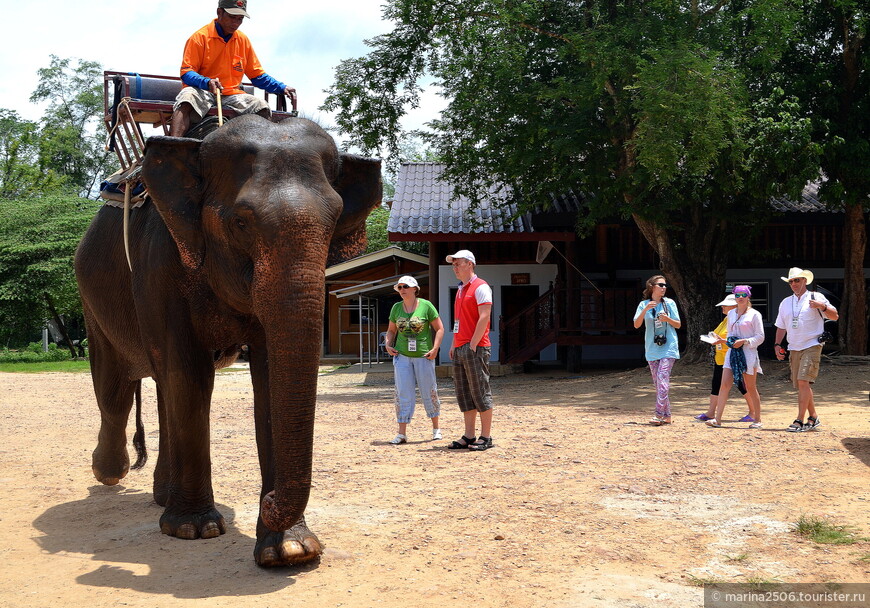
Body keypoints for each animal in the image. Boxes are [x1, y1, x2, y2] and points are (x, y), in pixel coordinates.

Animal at [76, 116, 384, 568]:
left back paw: (161, 497)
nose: (269, 500)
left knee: (161, 387)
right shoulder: (160, 261)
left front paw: (290, 550)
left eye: (334, 224)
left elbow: (268, 379)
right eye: (241, 222)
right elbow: (190, 374)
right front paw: (195, 530)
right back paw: (110, 473)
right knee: (116, 384)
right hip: (92, 298)